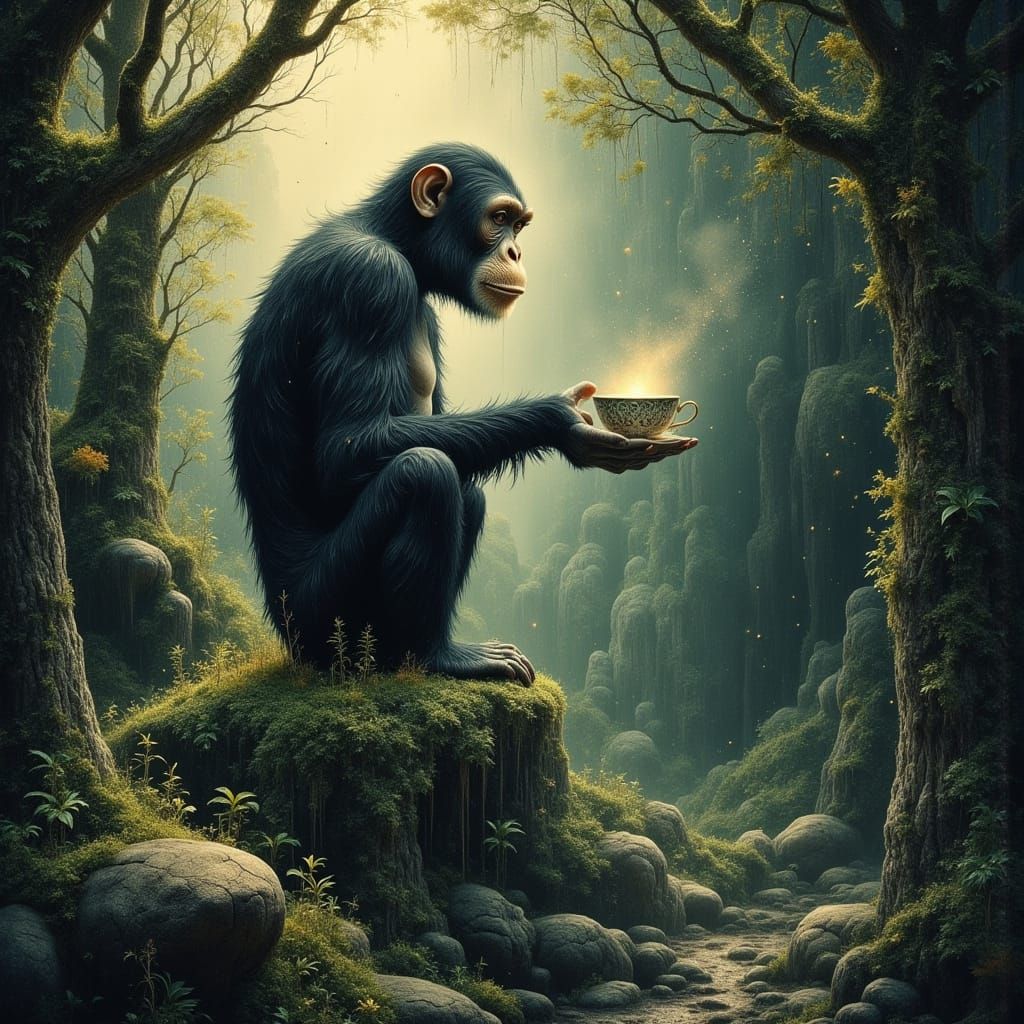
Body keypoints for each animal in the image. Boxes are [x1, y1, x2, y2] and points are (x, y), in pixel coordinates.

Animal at [228, 143, 697, 684]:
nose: (516, 253)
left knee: (464, 487)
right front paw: (559, 419)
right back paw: (440, 655)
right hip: (321, 618)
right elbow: (348, 448)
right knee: (425, 472)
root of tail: (287, 637)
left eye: (520, 227)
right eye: (498, 219)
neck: (396, 241)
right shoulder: (370, 280)